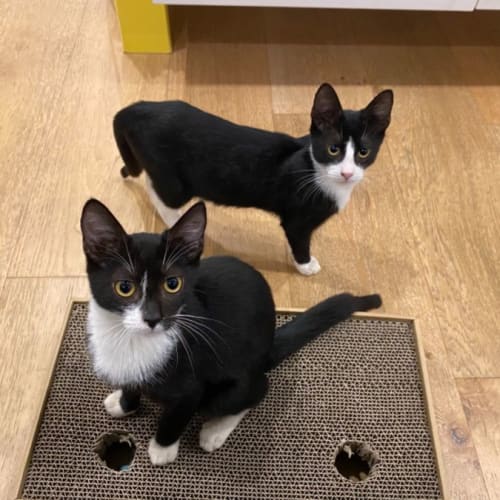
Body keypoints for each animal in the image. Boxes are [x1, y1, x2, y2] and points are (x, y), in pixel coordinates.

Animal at [80, 198, 380, 464]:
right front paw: (123, 403)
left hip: (230, 388)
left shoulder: (191, 387)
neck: (130, 340)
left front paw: (162, 450)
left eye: (173, 284)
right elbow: (130, 385)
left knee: (257, 390)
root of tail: (268, 348)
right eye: (124, 287)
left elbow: (174, 417)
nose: (153, 318)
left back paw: (215, 430)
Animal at [114, 83, 394, 276]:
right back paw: (175, 220)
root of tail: (137, 108)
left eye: (363, 152)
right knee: (158, 190)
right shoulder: (297, 219)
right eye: (333, 149)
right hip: (175, 182)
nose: (347, 173)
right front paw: (306, 265)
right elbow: (299, 240)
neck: (317, 172)